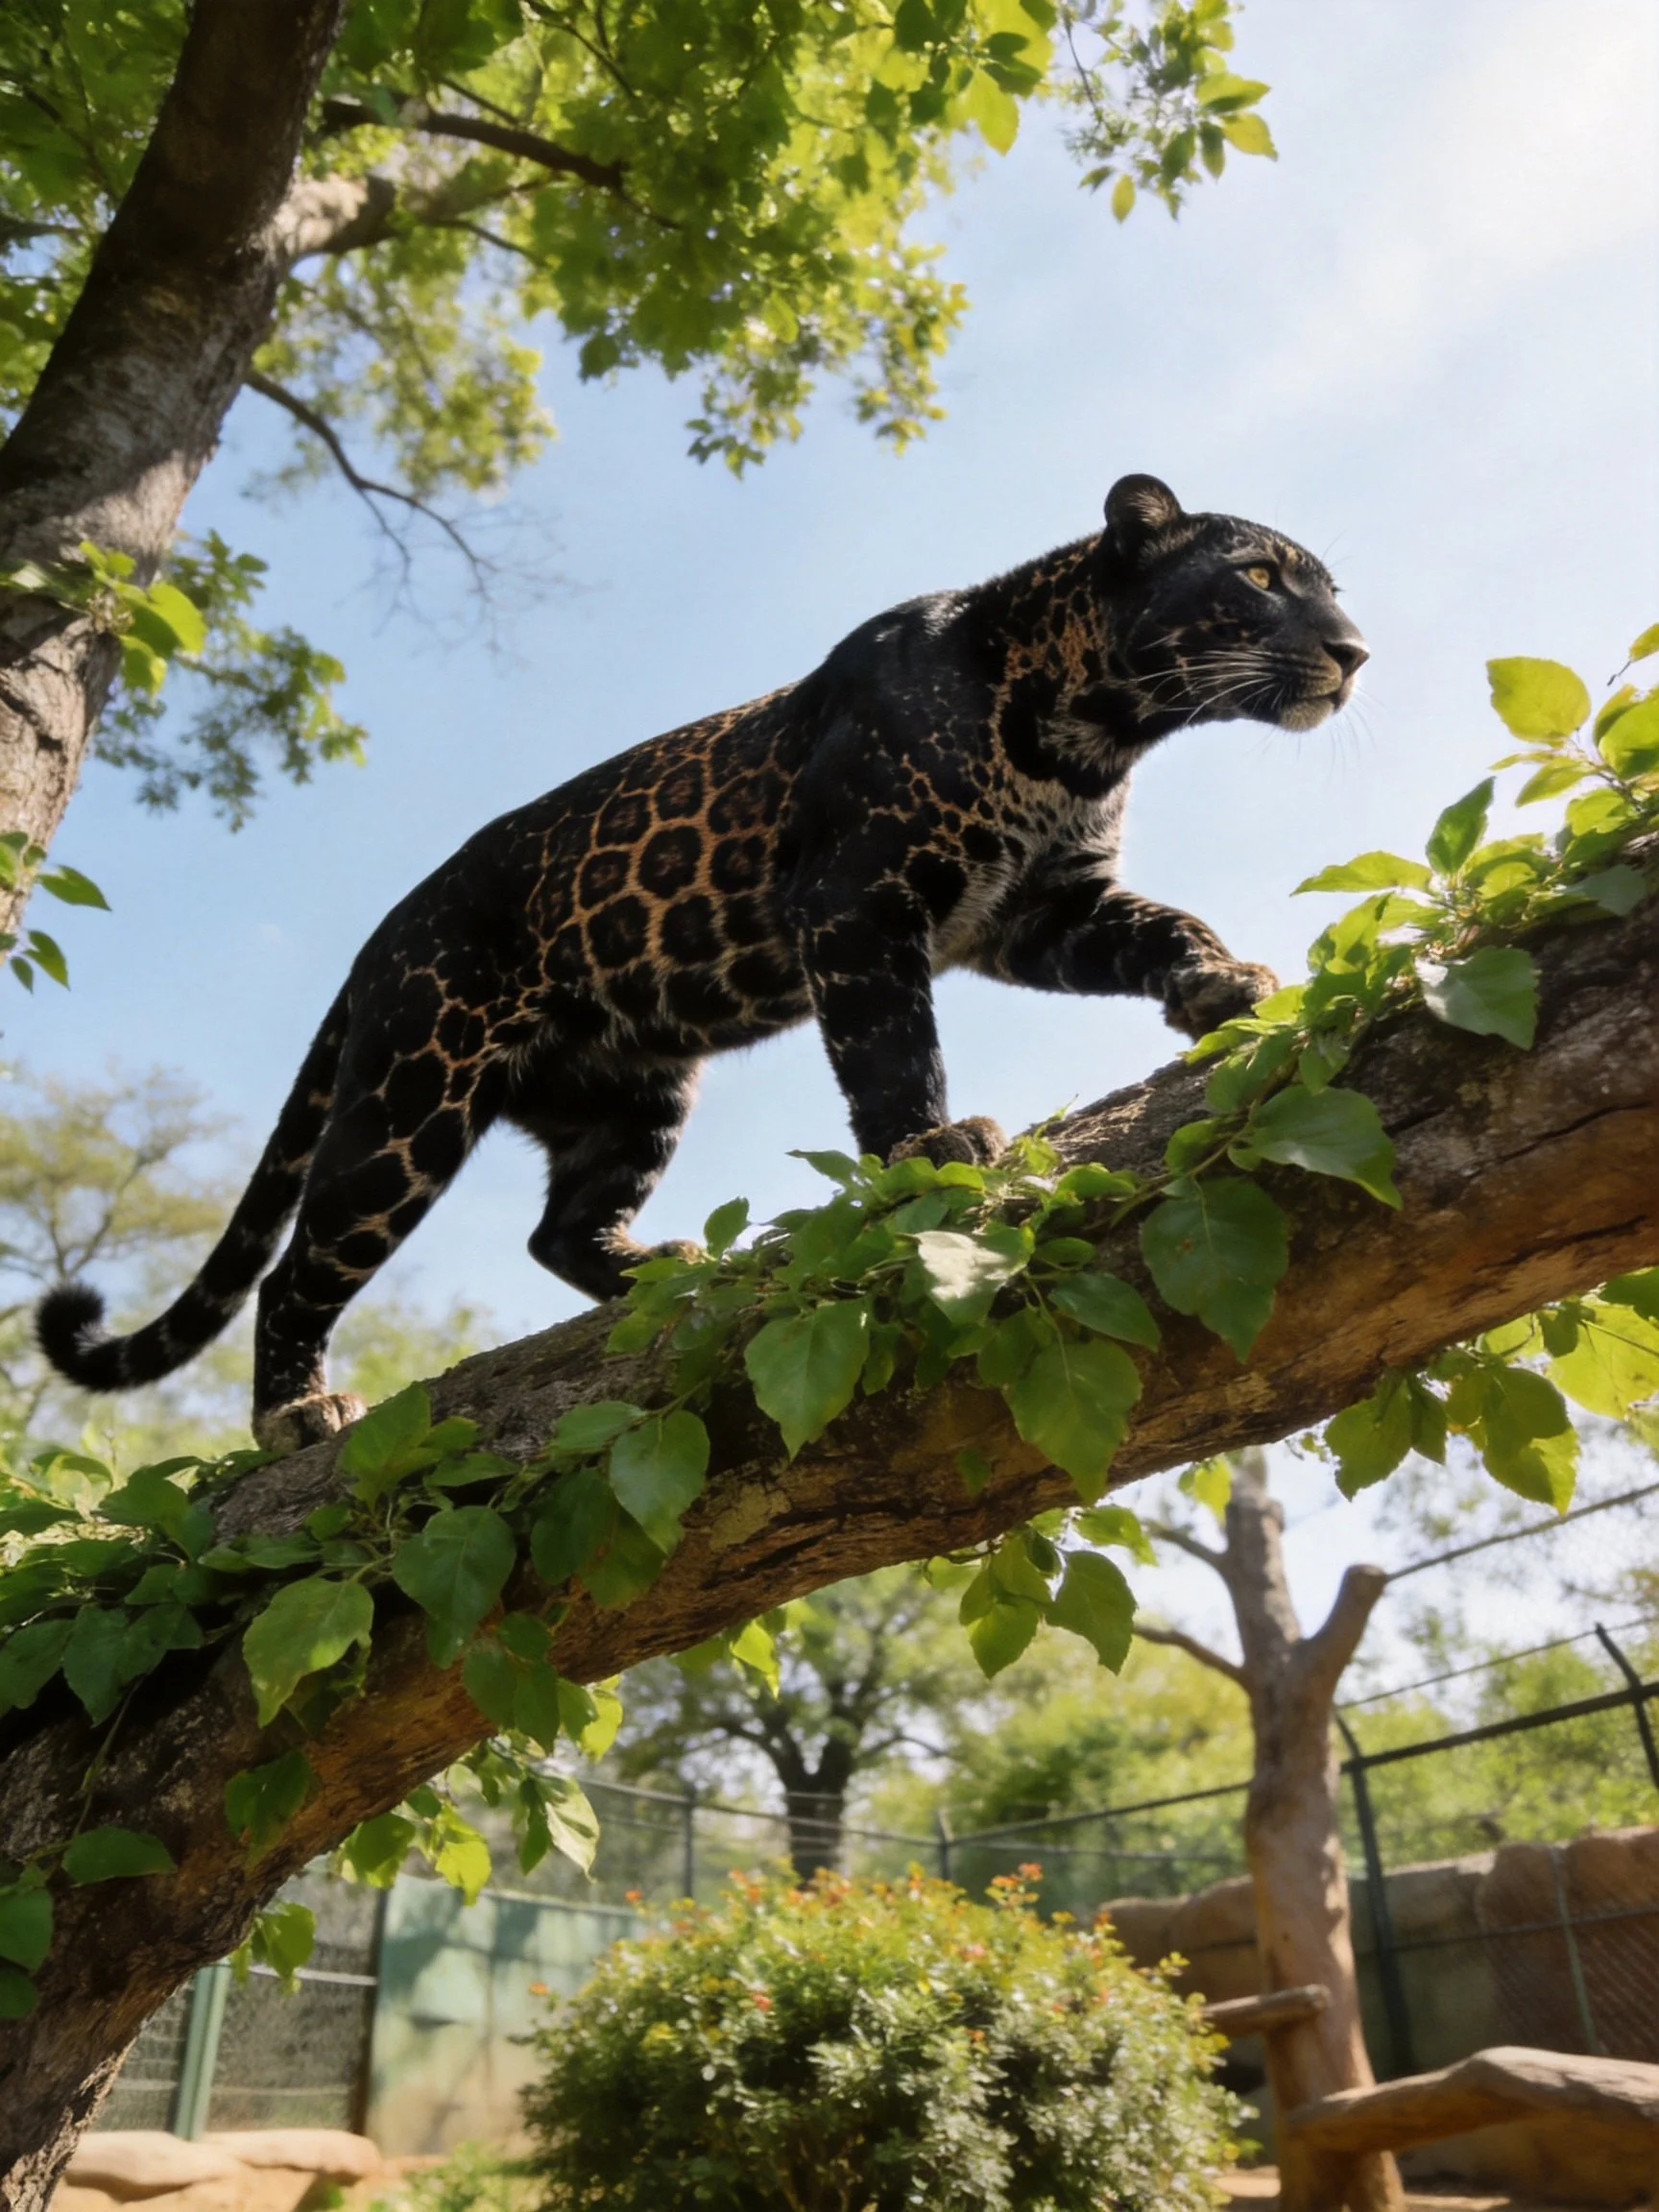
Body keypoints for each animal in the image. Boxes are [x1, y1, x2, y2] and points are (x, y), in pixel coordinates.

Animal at [39, 473, 1366, 1453]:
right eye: (1258, 578)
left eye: (1331, 588)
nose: (1356, 649)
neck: (1096, 727)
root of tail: (376, 945)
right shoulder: (856, 906)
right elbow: (891, 1050)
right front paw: (929, 1148)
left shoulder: (1043, 911)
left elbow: (1166, 924)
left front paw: (1221, 986)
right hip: (411, 1097)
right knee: (299, 1266)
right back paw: (296, 1416)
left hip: (639, 1091)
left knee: (557, 1230)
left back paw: (650, 1268)